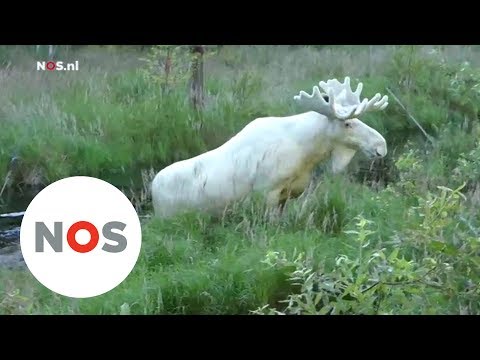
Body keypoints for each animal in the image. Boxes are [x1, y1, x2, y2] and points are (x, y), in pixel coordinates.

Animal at [152, 76, 388, 218]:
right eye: (347, 124)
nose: (381, 145)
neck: (308, 152)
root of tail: (152, 189)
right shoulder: (267, 192)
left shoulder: (288, 194)